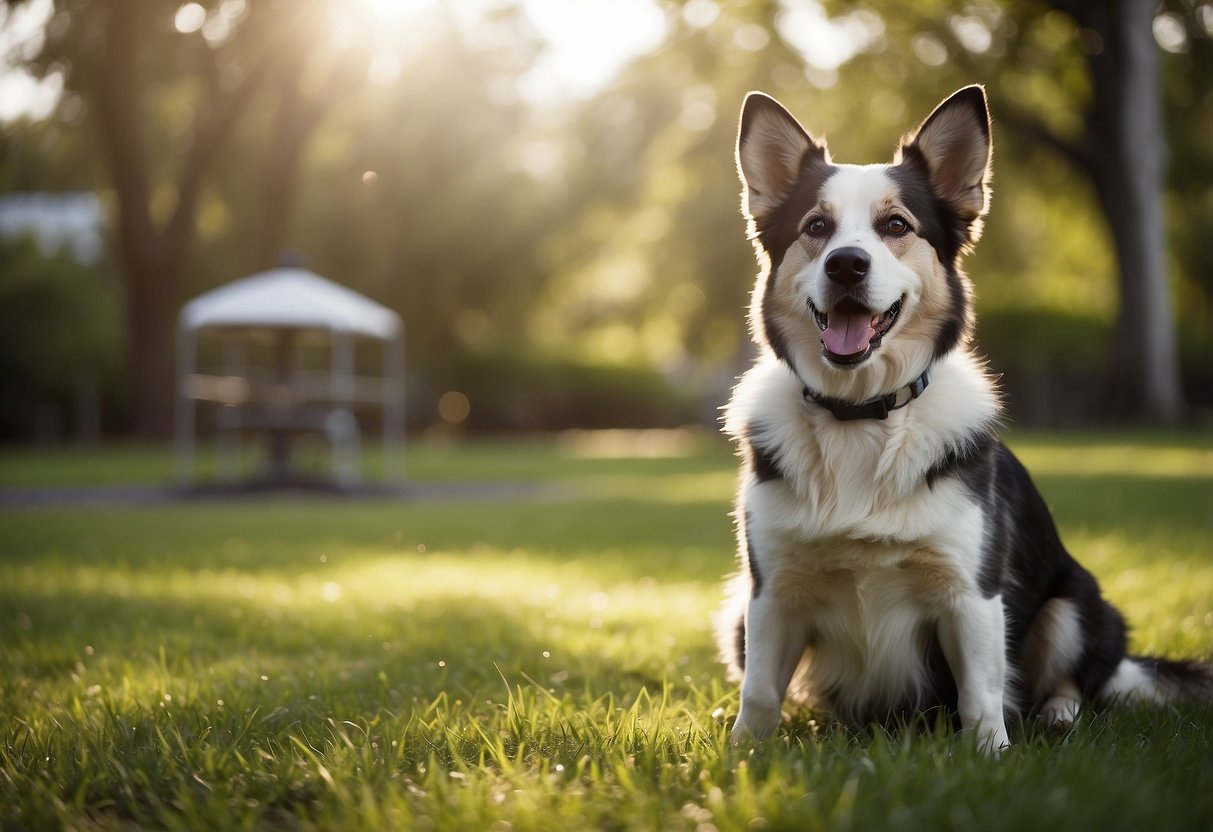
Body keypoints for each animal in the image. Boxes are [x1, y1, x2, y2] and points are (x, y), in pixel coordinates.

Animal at [713, 86, 1208, 756]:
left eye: (896, 226)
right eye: (816, 227)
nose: (846, 264)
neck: (861, 416)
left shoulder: (970, 592)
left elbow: (979, 695)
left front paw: (991, 758)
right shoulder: (770, 593)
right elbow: (761, 692)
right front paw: (743, 756)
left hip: (1076, 603)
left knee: (1076, 679)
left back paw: (1057, 716)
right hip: (735, 613)